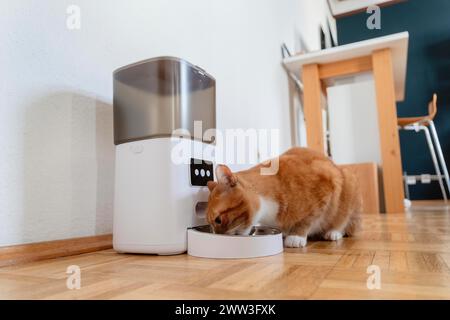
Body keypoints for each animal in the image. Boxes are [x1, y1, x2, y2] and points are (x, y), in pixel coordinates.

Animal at [207, 148, 362, 248]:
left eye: (218, 220)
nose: (217, 236)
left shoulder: (326, 189)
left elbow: (307, 219)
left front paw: (296, 236)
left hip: (349, 179)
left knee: (344, 220)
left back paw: (334, 232)